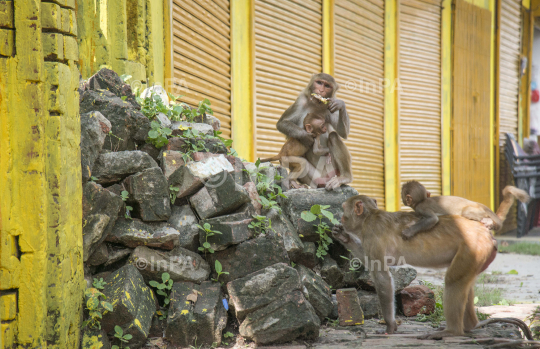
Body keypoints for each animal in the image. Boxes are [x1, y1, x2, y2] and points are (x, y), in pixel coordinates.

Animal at [332, 194, 528, 338]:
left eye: (343, 209)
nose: (341, 217)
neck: (369, 218)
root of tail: (488, 236)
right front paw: (344, 237)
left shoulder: (373, 234)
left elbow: (382, 276)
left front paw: (390, 326)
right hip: (479, 257)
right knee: (466, 283)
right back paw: (470, 326)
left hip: (474, 248)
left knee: (453, 281)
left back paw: (452, 332)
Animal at [398, 179, 528, 239]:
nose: (402, 199)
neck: (422, 200)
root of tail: (478, 203)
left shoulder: (421, 207)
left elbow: (433, 219)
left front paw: (409, 231)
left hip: (474, 209)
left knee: (467, 212)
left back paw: (488, 221)